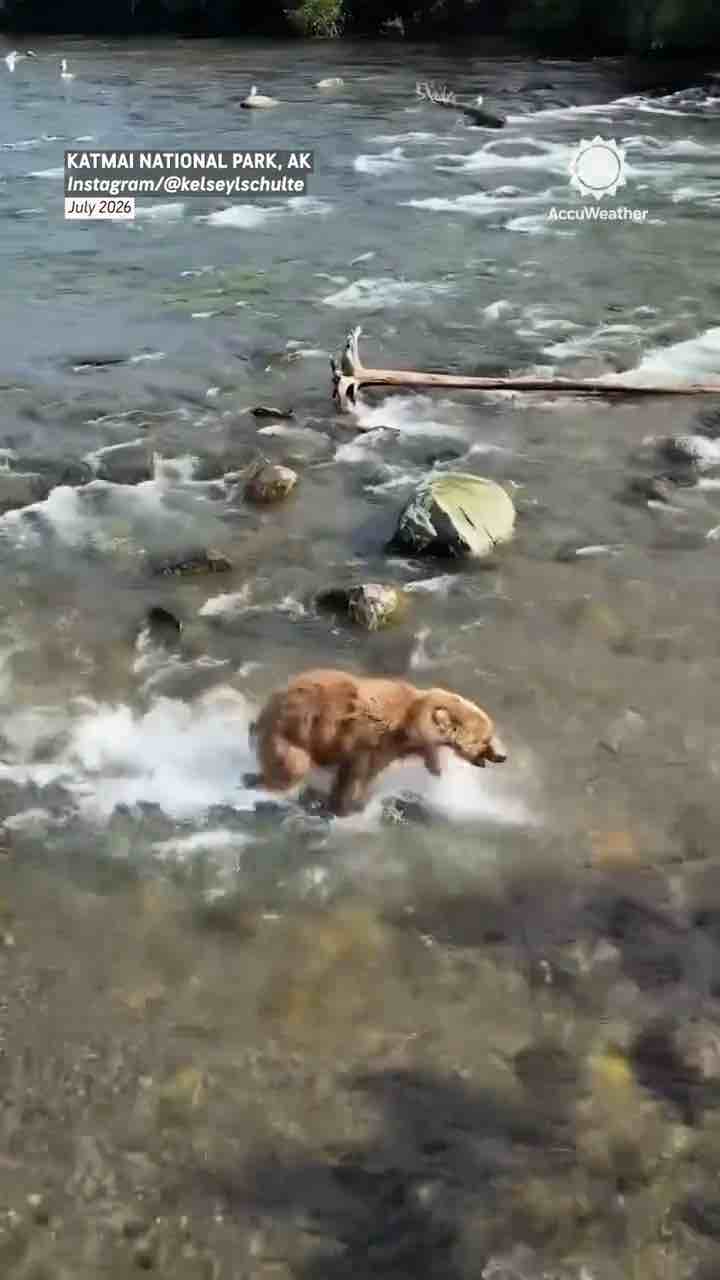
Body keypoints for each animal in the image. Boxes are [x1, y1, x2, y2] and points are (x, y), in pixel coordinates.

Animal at [251, 668, 507, 817]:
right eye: (486, 739)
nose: (503, 756)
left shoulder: (385, 747)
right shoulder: (369, 739)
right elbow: (359, 775)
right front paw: (350, 806)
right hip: (295, 730)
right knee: (292, 765)